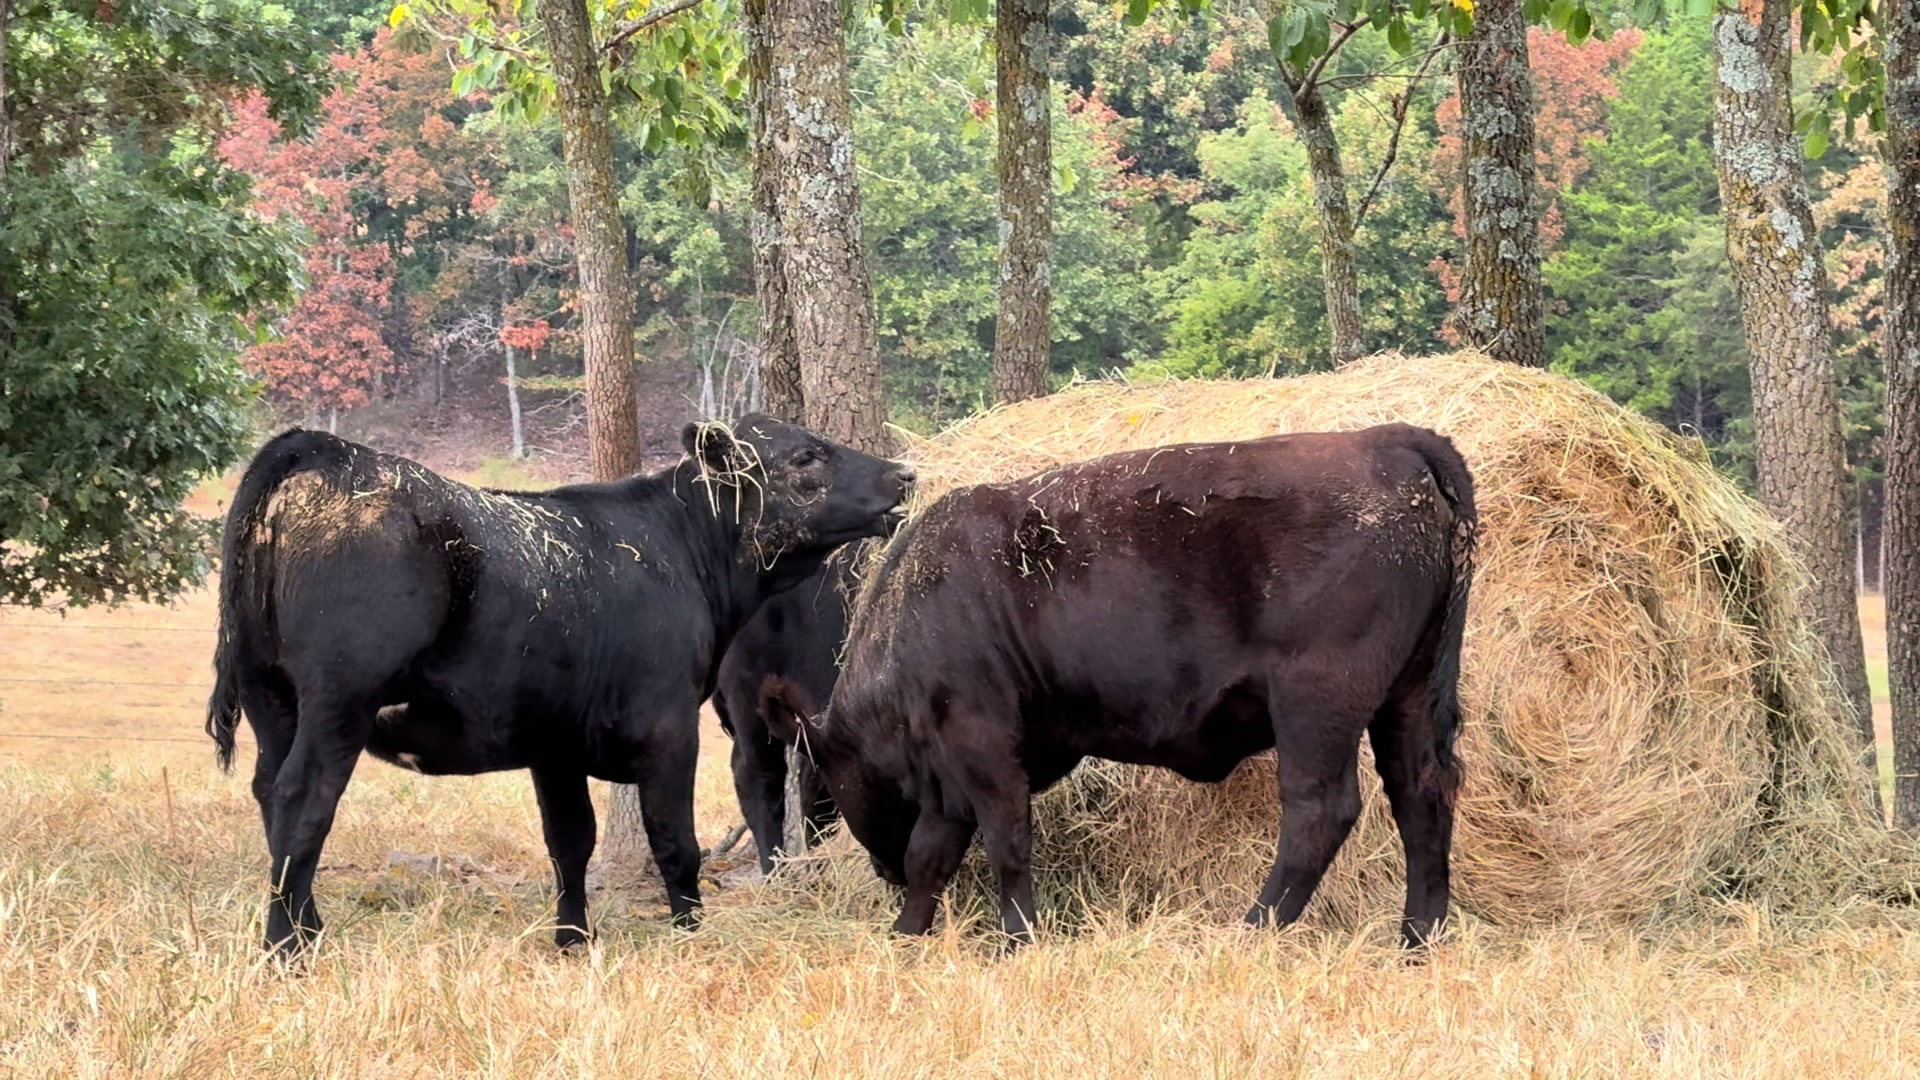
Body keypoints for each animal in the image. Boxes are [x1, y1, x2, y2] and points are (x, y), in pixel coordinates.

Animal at [206, 416, 916, 955]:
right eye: (806, 456)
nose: (905, 475)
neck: (680, 550)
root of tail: (320, 447)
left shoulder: (555, 746)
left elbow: (570, 843)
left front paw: (573, 940)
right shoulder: (668, 728)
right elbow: (675, 843)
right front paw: (690, 935)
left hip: (271, 697)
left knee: (269, 794)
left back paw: (308, 928)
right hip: (339, 699)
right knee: (303, 800)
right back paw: (287, 946)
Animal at [760, 424, 1476, 950]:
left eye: (824, 783)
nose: (874, 868)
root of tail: (1392, 439)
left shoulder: (980, 742)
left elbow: (1005, 841)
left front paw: (1018, 938)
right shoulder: (949, 771)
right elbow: (931, 857)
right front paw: (906, 937)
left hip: (1316, 705)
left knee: (1320, 810)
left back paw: (1252, 930)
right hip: (1405, 698)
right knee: (1422, 796)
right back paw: (1417, 939)